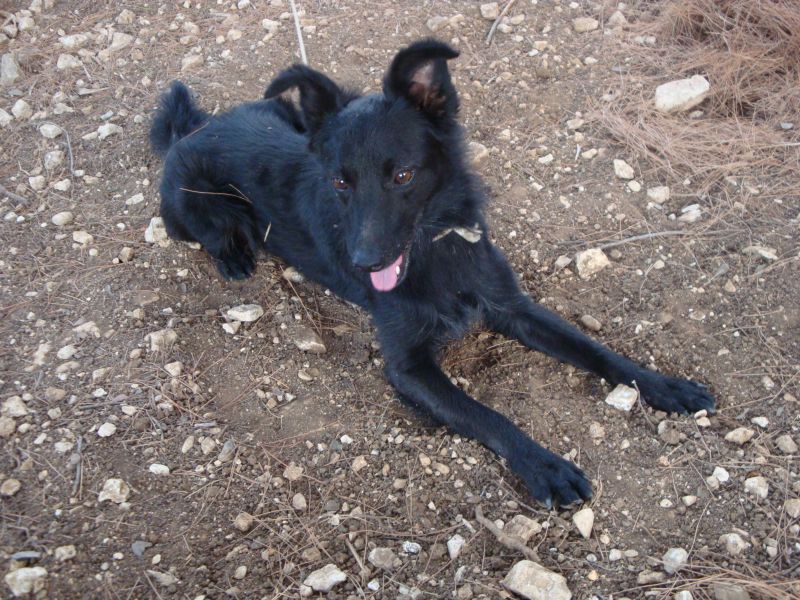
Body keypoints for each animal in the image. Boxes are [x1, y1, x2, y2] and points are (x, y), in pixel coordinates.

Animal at [150, 38, 712, 506]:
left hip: (281, 112)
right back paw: (234, 256)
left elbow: (596, 351)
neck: (436, 249)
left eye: (402, 175)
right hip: (191, 209)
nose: (363, 262)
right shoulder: (409, 366)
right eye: (339, 182)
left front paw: (665, 386)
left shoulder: (514, 308)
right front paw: (544, 466)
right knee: (207, 231)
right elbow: (487, 414)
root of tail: (192, 130)